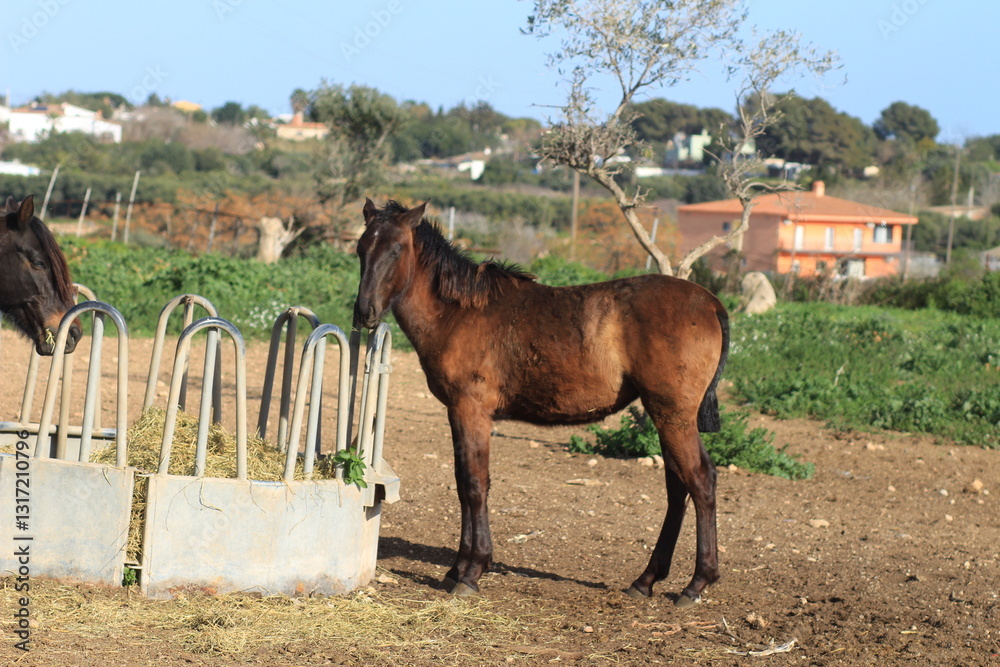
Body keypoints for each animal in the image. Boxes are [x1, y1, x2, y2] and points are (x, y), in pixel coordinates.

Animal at [353, 199, 729, 606]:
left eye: (396, 250)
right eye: (361, 248)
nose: (364, 312)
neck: (458, 313)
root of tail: (711, 303)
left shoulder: (471, 411)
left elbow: (474, 484)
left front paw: (471, 572)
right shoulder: (457, 413)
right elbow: (463, 484)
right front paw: (457, 568)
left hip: (674, 416)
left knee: (701, 480)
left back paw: (697, 582)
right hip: (666, 416)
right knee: (678, 488)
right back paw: (646, 580)